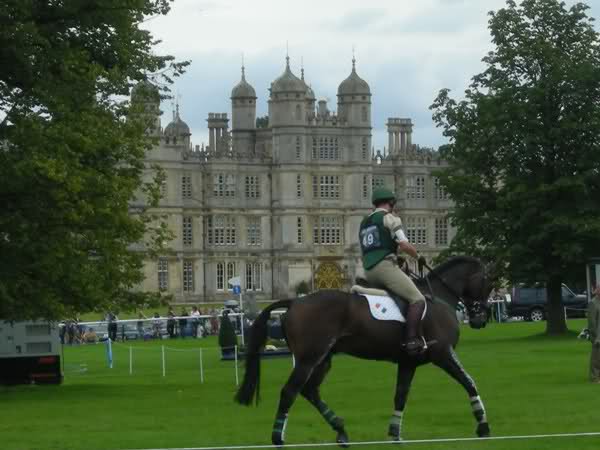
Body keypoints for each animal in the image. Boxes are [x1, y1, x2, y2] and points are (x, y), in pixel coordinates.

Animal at [234, 256, 492, 446]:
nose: (480, 318)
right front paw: (483, 426)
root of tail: (295, 301)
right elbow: (469, 382)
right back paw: (278, 438)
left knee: (309, 391)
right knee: (290, 392)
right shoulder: (443, 354)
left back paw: (340, 430)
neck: (439, 296)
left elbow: (401, 395)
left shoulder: (408, 362)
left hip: (323, 359)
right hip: (309, 359)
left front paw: (395, 433)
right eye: (489, 283)